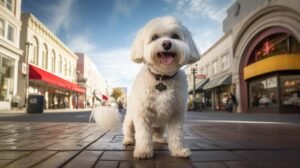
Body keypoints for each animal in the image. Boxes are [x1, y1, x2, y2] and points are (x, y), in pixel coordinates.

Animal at [123, 16, 200, 159]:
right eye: (154, 37)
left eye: (175, 36)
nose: (166, 44)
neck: (162, 77)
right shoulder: (142, 114)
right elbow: (143, 135)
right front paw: (143, 151)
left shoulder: (177, 114)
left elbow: (176, 135)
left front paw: (178, 150)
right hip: (130, 121)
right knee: (130, 132)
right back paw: (128, 140)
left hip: (161, 126)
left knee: (156, 135)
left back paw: (160, 139)